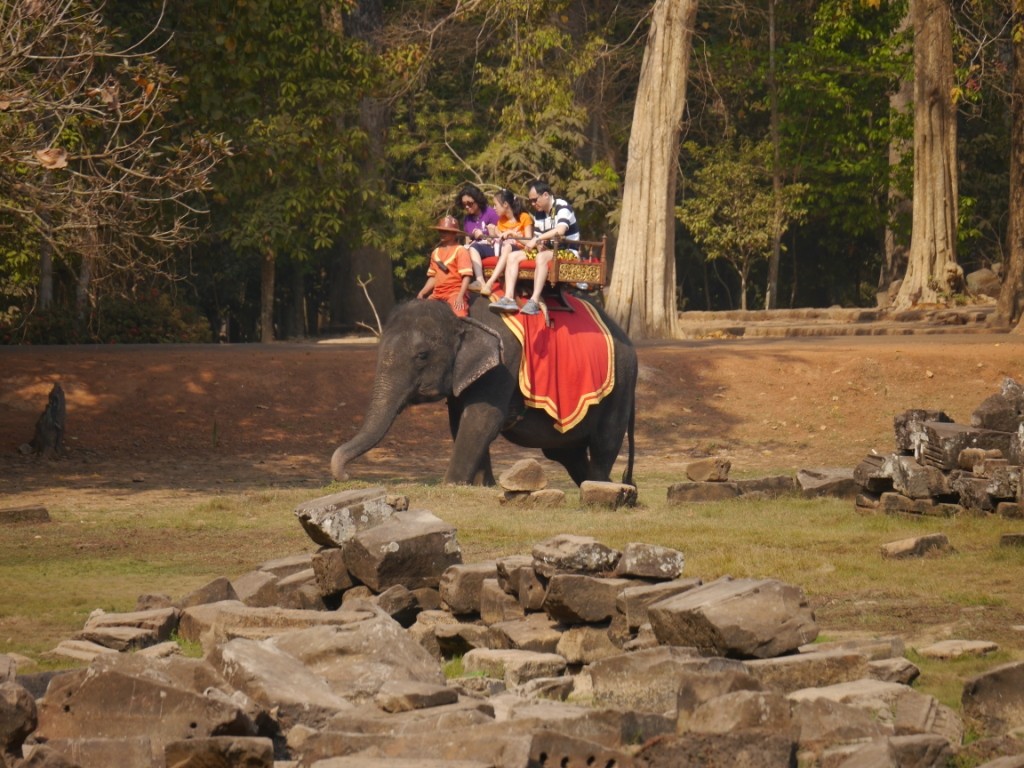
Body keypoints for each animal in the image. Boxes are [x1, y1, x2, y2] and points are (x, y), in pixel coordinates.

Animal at [331, 294, 634, 487]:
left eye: (422, 356)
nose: (346, 477)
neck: (460, 315)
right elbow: (460, 421)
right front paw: (482, 486)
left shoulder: (505, 359)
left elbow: (482, 418)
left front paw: (452, 485)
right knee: (566, 452)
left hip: (621, 385)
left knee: (605, 440)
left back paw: (602, 488)